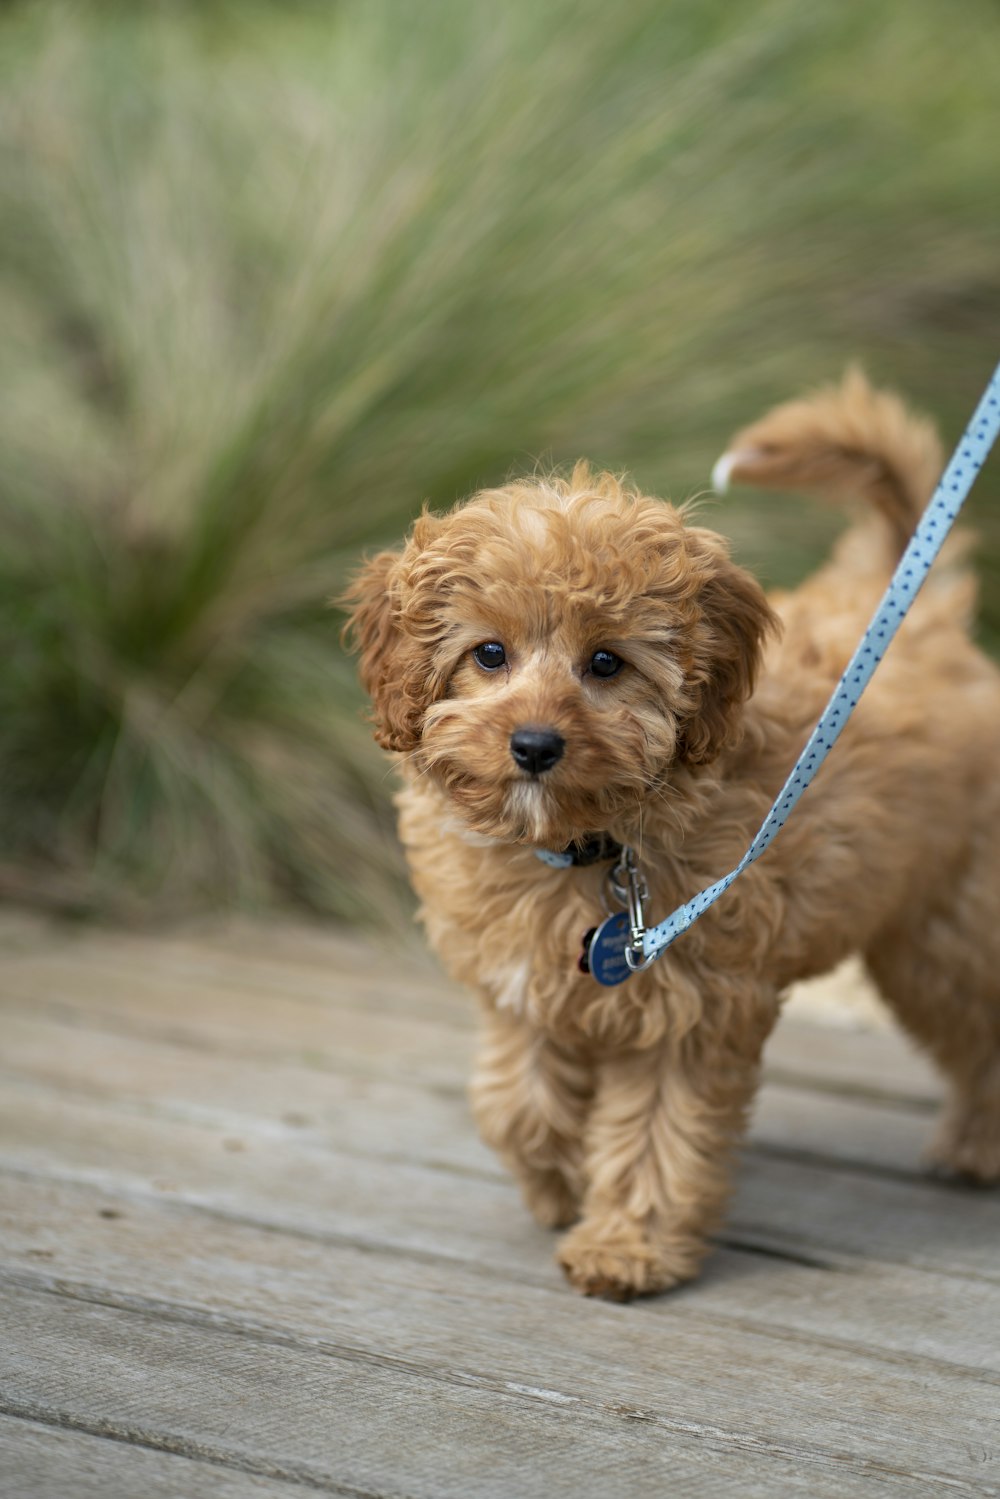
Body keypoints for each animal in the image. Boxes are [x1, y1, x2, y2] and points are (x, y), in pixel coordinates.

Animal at [346, 374, 1000, 1301]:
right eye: (489, 653)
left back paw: (975, 1144)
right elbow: (518, 1106)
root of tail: (920, 611)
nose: (534, 744)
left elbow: (658, 1134)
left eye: (606, 662)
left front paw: (627, 1246)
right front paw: (559, 1182)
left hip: (942, 932)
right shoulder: (521, 988)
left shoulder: (692, 1007)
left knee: (981, 1026)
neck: (584, 845)